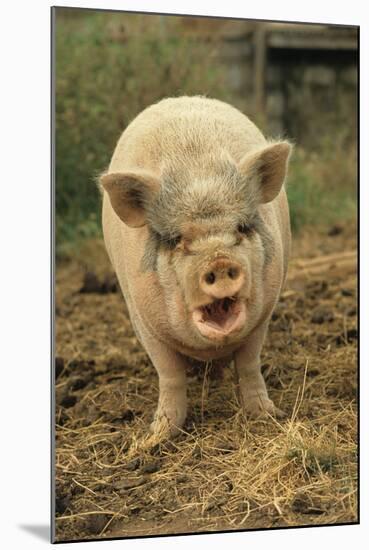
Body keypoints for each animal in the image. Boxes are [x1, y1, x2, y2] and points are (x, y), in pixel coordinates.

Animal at [100, 96, 290, 440]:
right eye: (176, 240)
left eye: (242, 227)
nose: (220, 261)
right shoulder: (142, 319)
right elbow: (170, 374)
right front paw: (155, 438)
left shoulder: (264, 313)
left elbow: (249, 363)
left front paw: (269, 416)